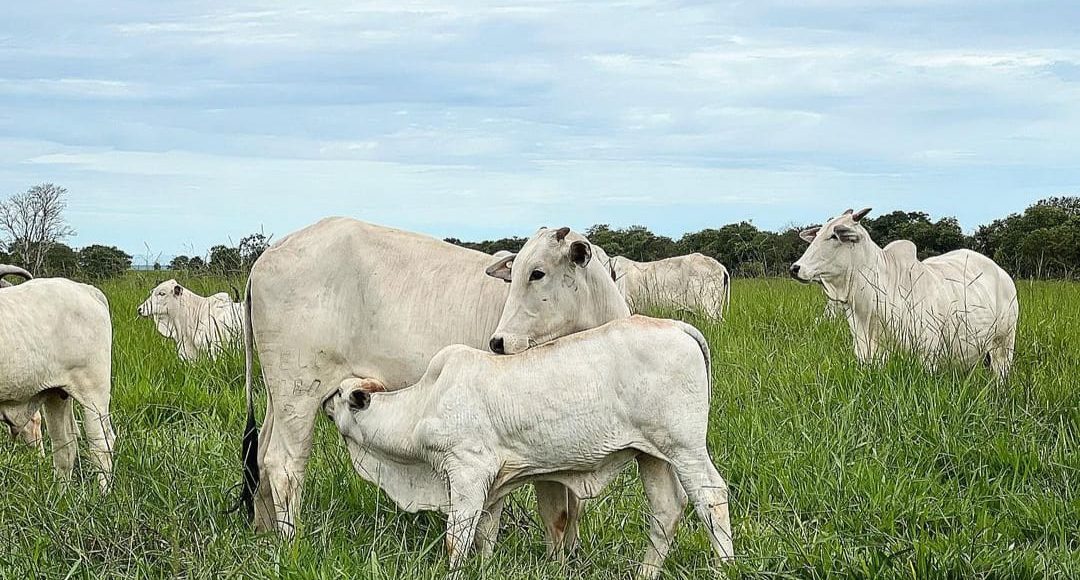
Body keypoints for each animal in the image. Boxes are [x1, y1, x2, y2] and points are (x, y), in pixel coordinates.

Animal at [0, 265, 116, 488]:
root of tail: (86, 289)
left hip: (94, 393)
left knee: (101, 445)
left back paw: (103, 493)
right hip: (56, 393)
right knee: (65, 447)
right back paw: (61, 495)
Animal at [239, 217, 630, 537]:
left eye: (537, 273)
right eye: (517, 272)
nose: (498, 342)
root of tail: (265, 258)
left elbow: (567, 513)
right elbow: (550, 512)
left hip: (278, 396)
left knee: (261, 459)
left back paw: (264, 534)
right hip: (299, 393)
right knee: (284, 464)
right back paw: (291, 542)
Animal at [315, 315, 730, 574]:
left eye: (340, 394)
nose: (322, 401)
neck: (422, 406)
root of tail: (677, 326)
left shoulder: (467, 472)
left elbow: (457, 538)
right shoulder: (494, 482)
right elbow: (485, 533)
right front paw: (485, 567)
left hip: (685, 447)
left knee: (711, 496)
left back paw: (724, 565)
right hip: (652, 455)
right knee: (667, 510)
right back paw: (645, 572)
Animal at [790, 208, 1015, 380]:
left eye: (834, 236)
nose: (795, 268)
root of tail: (1002, 274)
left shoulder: (927, 358)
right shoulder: (868, 356)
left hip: (1003, 347)